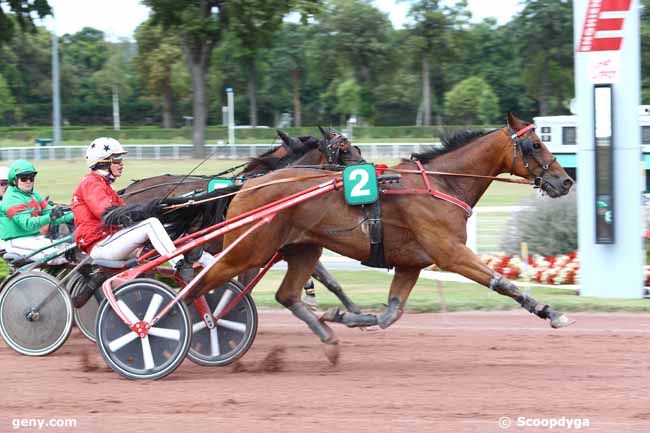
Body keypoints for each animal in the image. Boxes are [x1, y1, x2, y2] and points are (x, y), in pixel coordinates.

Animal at [184, 112, 572, 362]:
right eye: (535, 144)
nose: (566, 180)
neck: (442, 183)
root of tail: (246, 187)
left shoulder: (411, 263)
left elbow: (391, 313)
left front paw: (345, 316)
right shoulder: (451, 253)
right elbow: (502, 282)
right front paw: (550, 312)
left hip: (301, 249)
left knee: (286, 295)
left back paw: (327, 339)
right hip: (248, 249)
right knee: (198, 287)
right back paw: (196, 328)